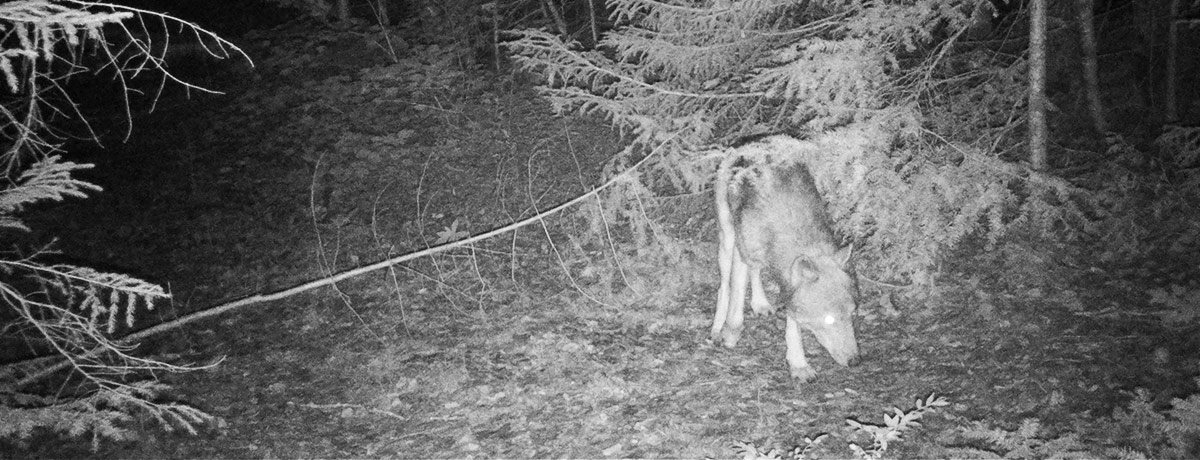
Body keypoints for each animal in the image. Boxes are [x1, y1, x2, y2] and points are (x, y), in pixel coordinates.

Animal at [710, 135, 864, 384]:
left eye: (852, 313)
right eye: (829, 320)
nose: (856, 361)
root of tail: (749, 144)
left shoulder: (789, 282)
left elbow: (793, 321)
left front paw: (798, 364)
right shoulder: (743, 253)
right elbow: (736, 304)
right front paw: (730, 334)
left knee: (755, 272)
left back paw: (761, 304)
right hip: (728, 238)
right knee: (724, 286)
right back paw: (717, 328)